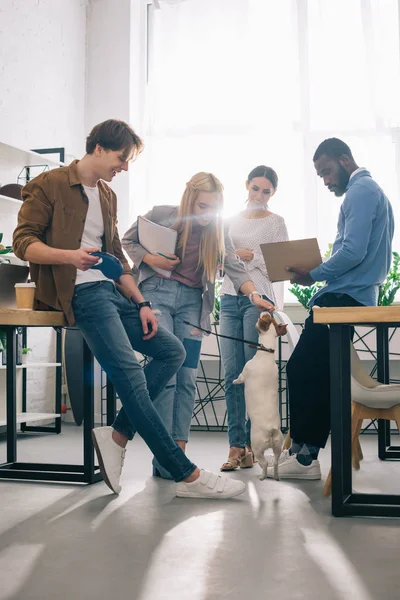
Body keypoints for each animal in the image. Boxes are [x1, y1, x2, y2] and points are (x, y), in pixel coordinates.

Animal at [231, 312, 288, 480]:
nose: (267, 311)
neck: (266, 352)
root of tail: (271, 430)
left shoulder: (245, 373)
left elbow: (240, 378)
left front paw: (234, 381)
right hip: (277, 446)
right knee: (275, 462)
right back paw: (275, 476)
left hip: (257, 447)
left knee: (265, 462)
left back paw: (262, 476)